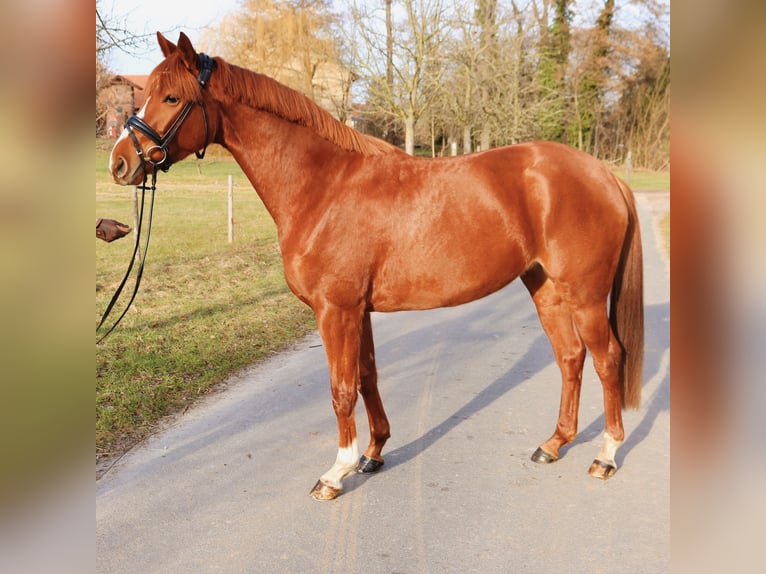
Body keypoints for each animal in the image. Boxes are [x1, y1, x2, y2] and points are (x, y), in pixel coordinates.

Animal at [111, 33, 644, 502]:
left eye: (172, 96)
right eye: (145, 93)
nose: (120, 164)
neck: (323, 186)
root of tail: (604, 174)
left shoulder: (336, 310)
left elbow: (341, 388)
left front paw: (336, 472)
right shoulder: (358, 310)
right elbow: (367, 376)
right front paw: (372, 453)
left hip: (586, 295)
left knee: (607, 358)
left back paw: (606, 455)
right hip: (545, 287)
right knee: (570, 357)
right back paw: (553, 444)